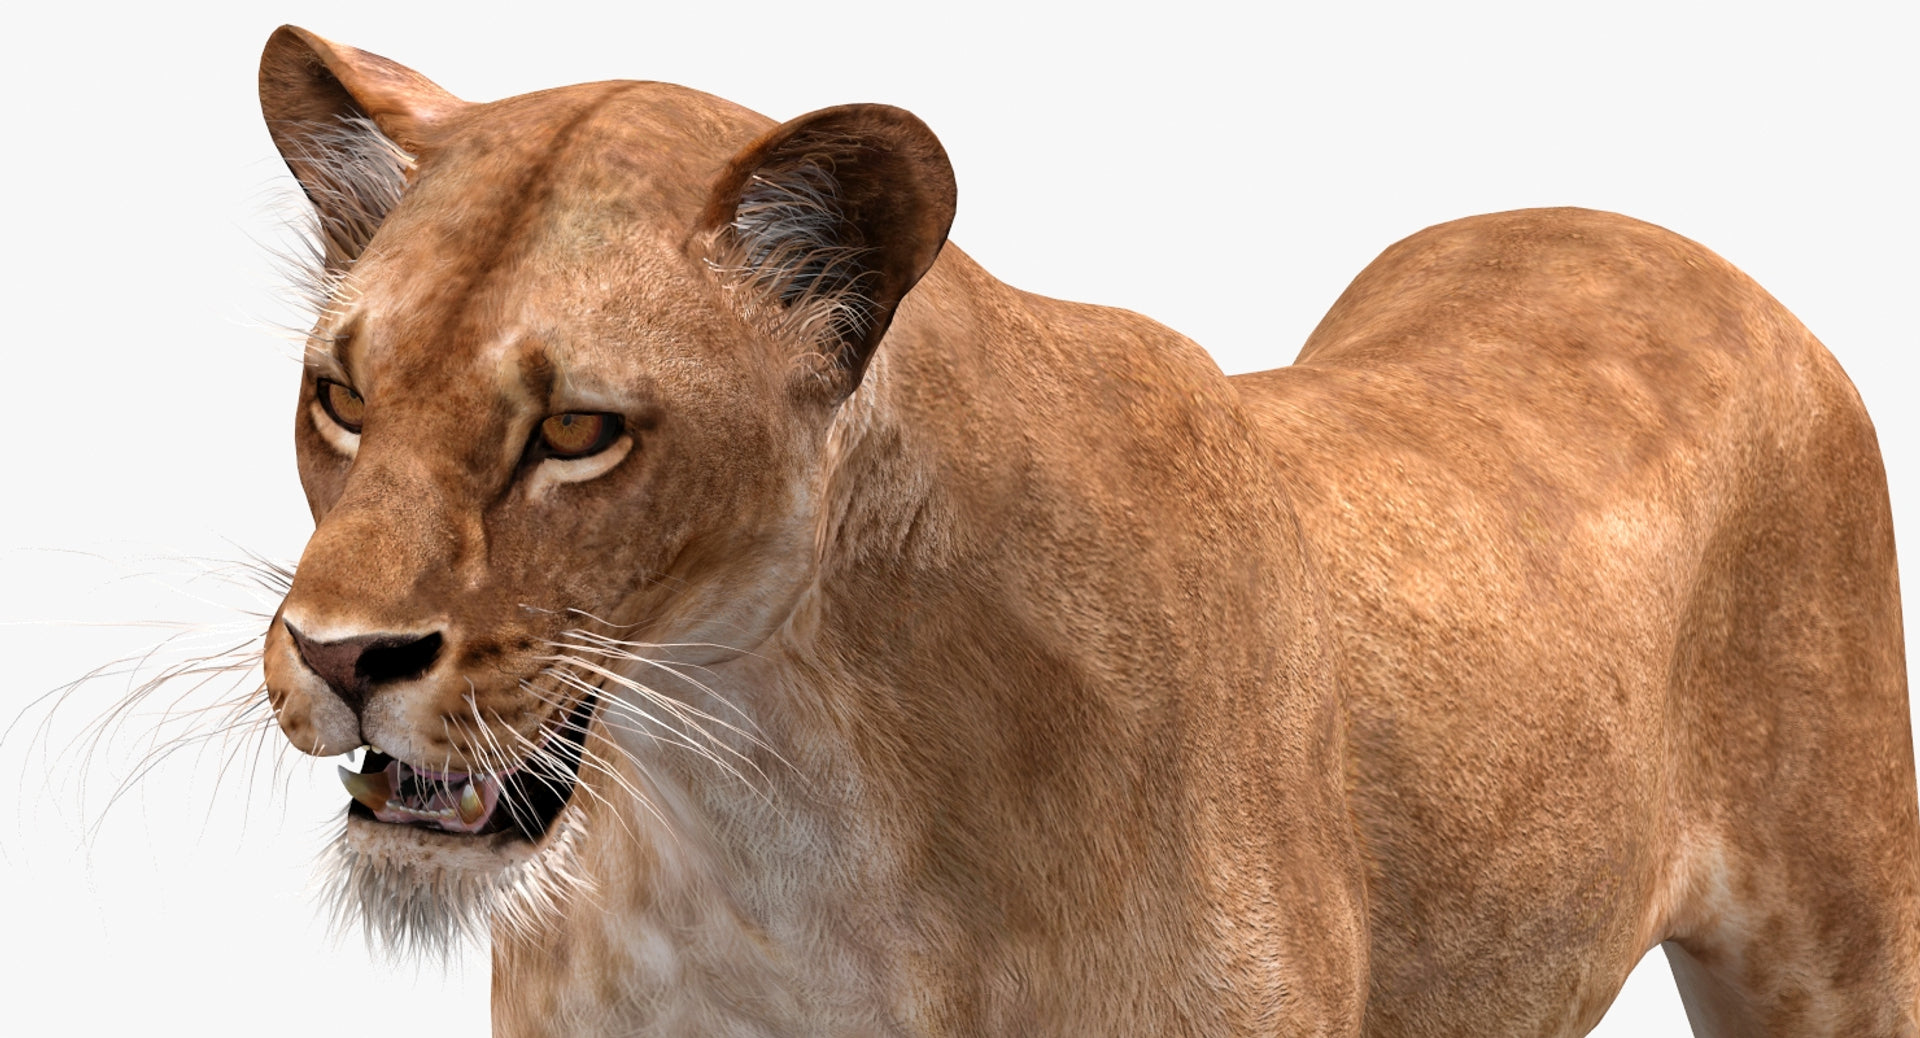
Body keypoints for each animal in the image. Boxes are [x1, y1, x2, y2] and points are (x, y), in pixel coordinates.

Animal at [255, 25, 1919, 1037]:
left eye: (576, 433)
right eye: (342, 395)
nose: (341, 658)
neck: (776, 808)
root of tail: (1639, 226)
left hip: (1841, 948)